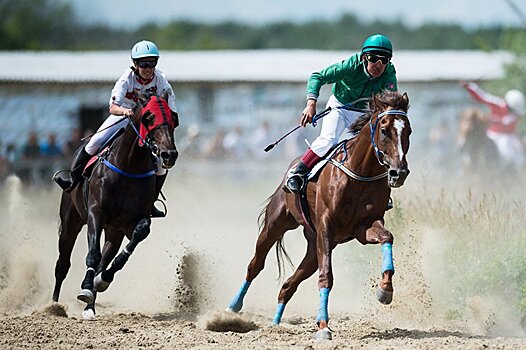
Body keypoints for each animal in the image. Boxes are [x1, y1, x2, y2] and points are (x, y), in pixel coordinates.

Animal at [52, 93, 179, 320]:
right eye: (148, 118)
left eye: (174, 119)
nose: (168, 155)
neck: (129, 165)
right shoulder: (96, 212)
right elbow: (93, 254)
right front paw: (86, 287)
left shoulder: (131, 223)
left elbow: (136, 236)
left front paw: (101, 280)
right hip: (70, 222)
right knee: (63, 264)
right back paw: (54, 305)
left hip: (113, 232)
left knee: (104, 259)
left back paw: (90, 305)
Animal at [227, 90, 412, 340]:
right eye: (384, 130)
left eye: (408, 131)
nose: (398, 172)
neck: (361, 173)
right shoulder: (326, 225)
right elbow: (327, 276)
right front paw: (323, 326)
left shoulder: (364, 226)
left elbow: (387, 237)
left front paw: (385, 290)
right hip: (276, 225)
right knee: (255, 265)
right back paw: (233, 307)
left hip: (314, 248)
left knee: (288, 285)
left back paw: (275, 322)